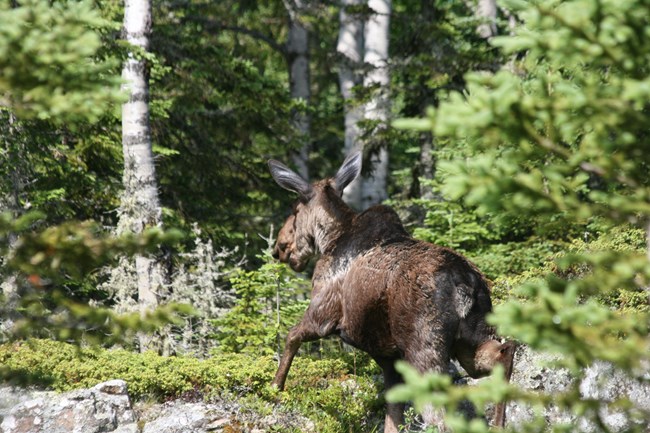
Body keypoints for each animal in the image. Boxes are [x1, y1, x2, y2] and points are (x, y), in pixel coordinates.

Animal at [266, 153, 512, 432]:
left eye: (295, 210)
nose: (279, 248)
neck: (328, 240)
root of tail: (465, 284)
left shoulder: (323, 313)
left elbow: (290, 337)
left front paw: (275, 387)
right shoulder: (389, 357)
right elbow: (392, 417)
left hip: (424, 349)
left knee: (441, 419)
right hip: (472, 341)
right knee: (504, 353)